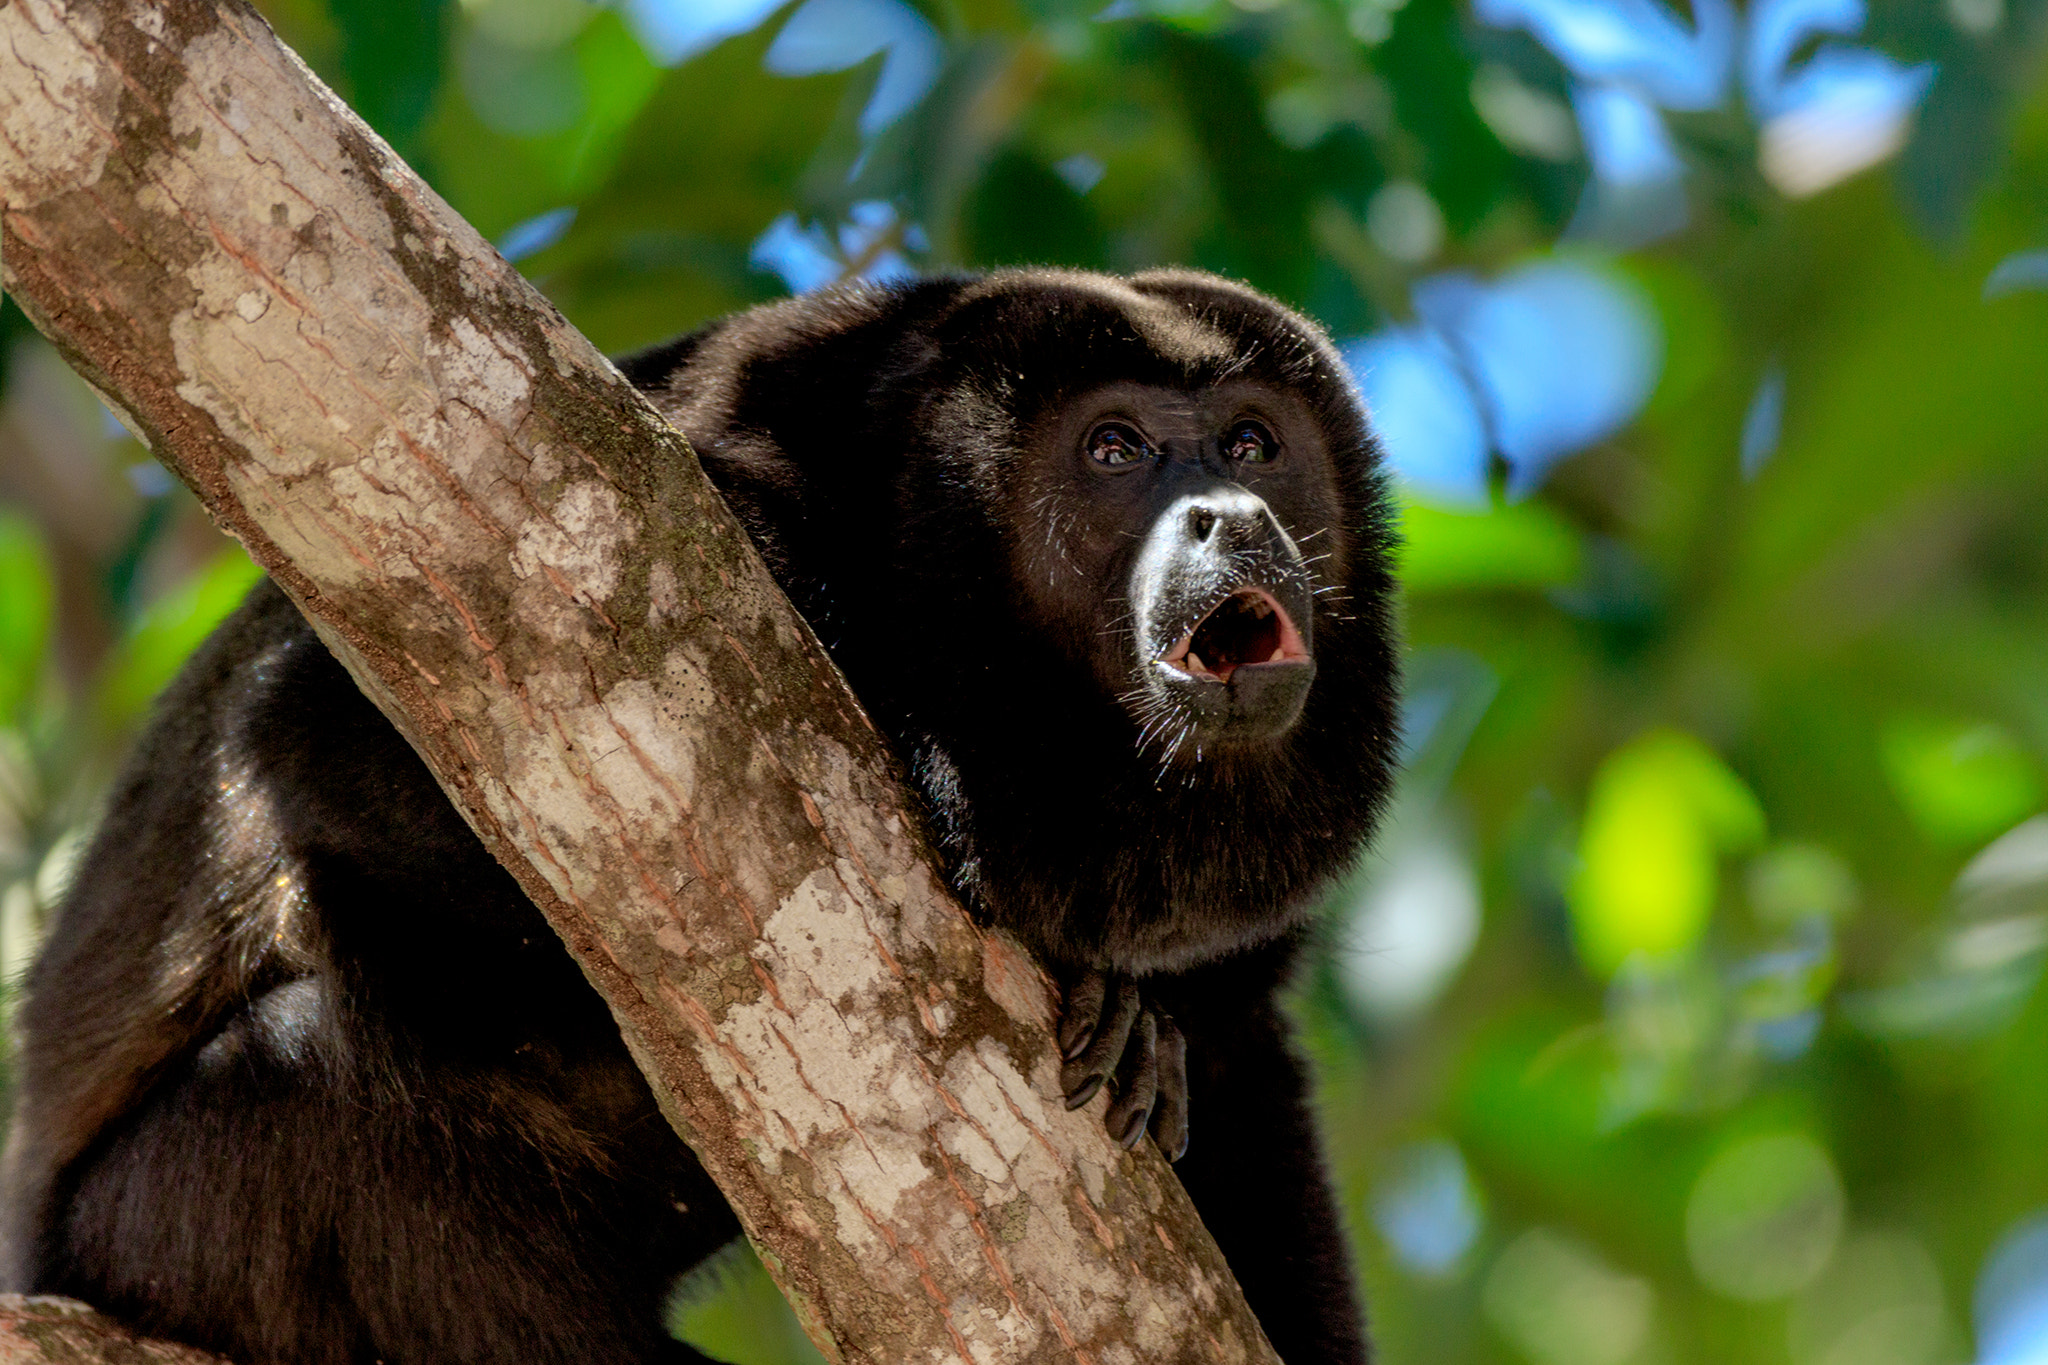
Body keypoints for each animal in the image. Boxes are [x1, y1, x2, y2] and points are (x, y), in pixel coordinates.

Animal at [0, 270, 1400, 1365]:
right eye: (1113, 450)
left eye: (1252, 446)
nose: (1234, 517)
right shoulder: (715, 482)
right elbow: (318, 738)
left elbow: (1241, 1056)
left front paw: (1144, 1015)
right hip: (164, 1227)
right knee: (298, 1054)